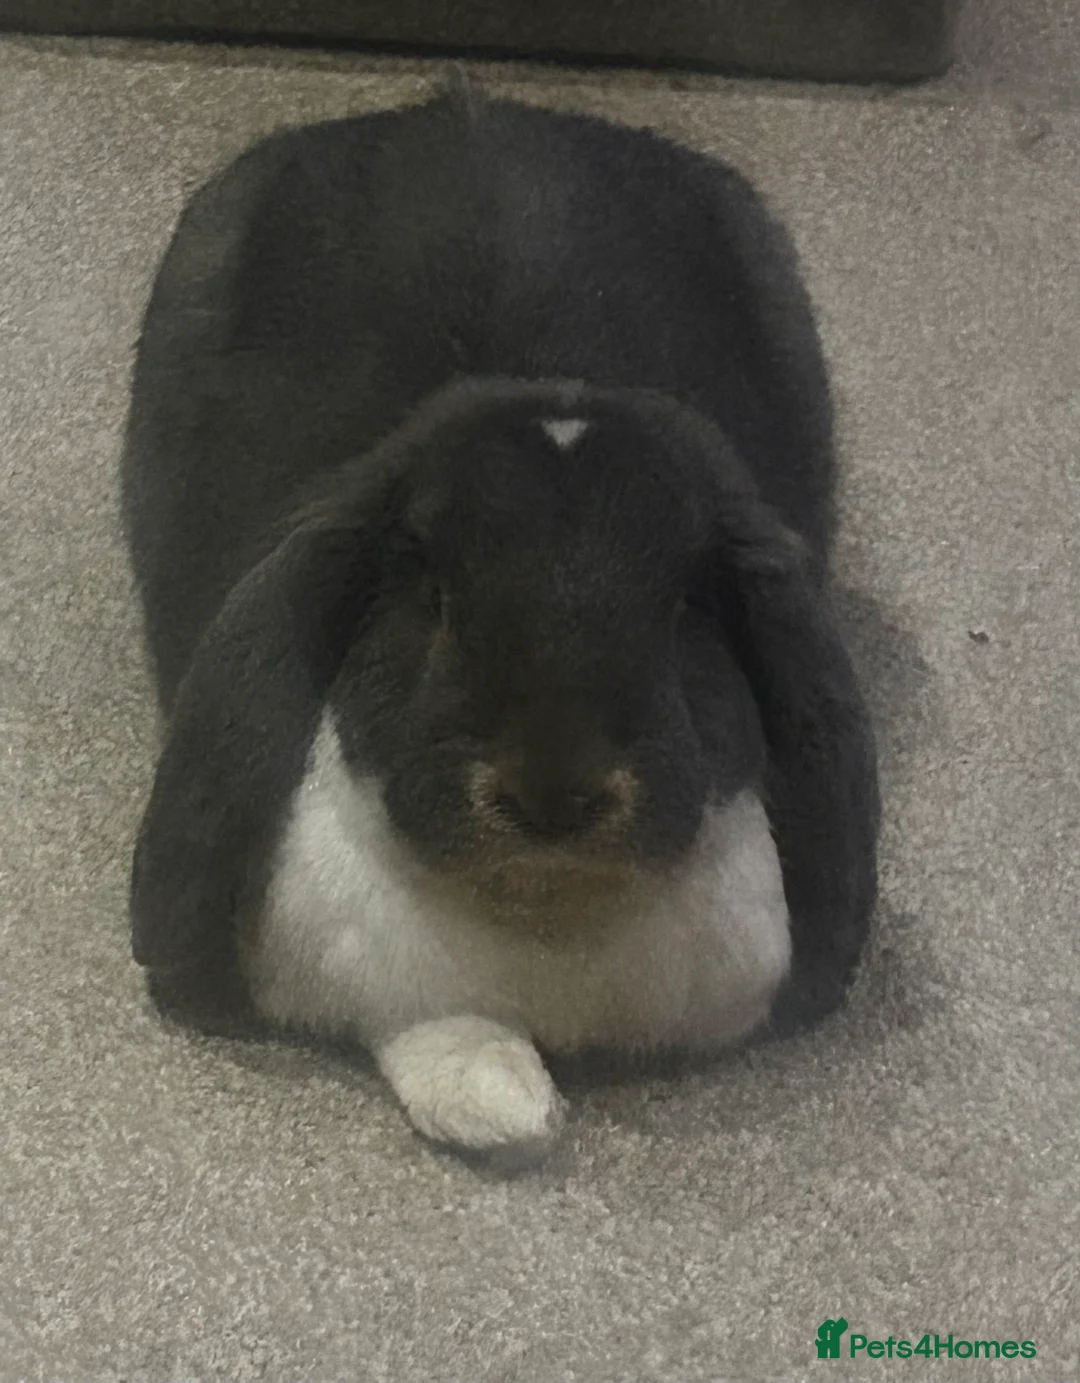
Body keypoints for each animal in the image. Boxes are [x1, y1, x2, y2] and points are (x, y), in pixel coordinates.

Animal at [123, 84, 879, 1162]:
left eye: (686, 608)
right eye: (433, 593)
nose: (553, 792)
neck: (543, 906)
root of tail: (464, 104)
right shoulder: (391, 991)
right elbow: (449, 1044)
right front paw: (516, 1107)